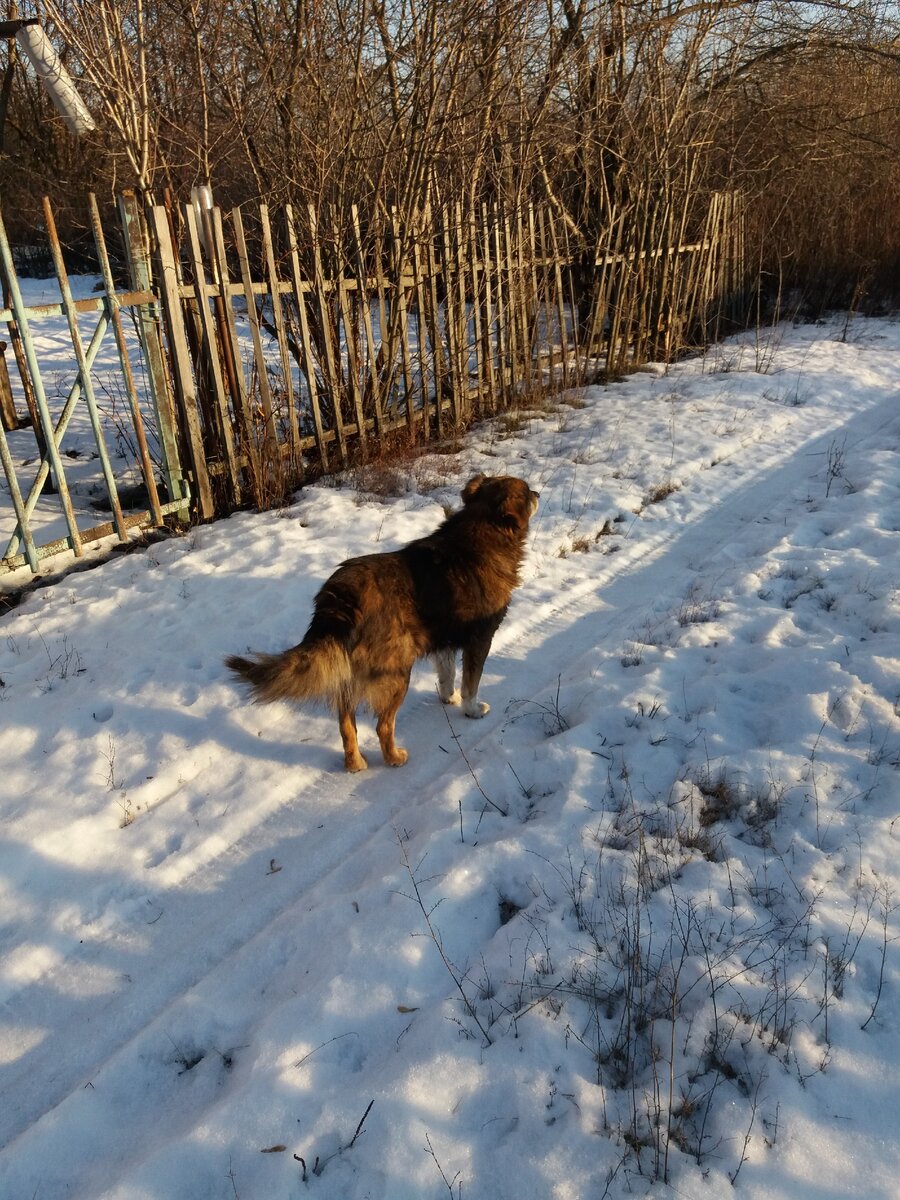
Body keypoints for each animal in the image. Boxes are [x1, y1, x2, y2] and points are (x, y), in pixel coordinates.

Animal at [229, 472, 540, 772]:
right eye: (526, 492)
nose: (537, 493)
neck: (482, 528)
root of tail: (342, 597)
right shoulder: (480, 639)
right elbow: (470, 685)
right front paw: (471, 709)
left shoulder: (443, 639)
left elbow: (447, 673)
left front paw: (447, 697)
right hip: (396, 672)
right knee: (382, 725)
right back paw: (394, 757)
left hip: (351, 673)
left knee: (346, 724)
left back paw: (355, 764)